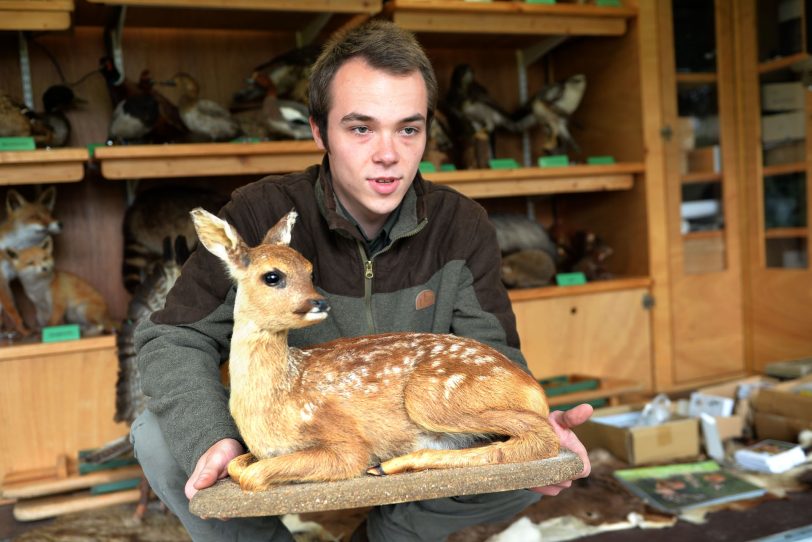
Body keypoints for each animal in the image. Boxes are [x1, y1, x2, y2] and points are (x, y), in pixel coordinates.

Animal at [0, 189, 61, 338]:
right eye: (35, 217)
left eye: (51, 215)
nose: (60, 223)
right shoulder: (1, 279)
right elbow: (12, 309)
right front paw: (24, 331)